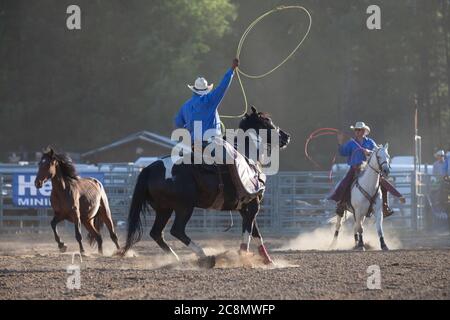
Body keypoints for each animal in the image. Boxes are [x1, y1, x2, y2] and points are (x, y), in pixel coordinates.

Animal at [122, 107, 292, 268]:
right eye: (267, 121)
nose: (286, 136)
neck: (246, 156)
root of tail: (150, 169)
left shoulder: (245, 207)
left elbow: (256, 233)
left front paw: (268, 261)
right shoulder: (253, 205)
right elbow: (248, 233)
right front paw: (244, 258)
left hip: (164, 209)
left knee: (157, 233)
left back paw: (177, 259)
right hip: (184, 207)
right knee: (177, 230)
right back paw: (205, 257)